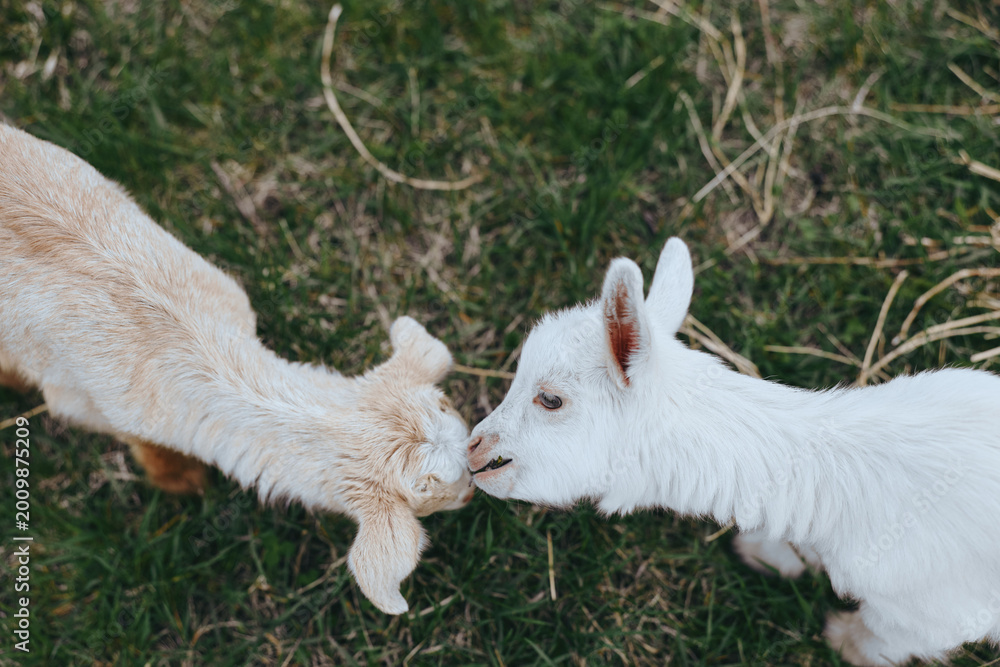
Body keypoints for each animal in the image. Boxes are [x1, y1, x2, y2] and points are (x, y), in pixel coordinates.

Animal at [468, 237, 1000, 665]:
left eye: (550, 399)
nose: (473, 452)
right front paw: (771, 555)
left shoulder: (935, 613)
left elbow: (882, 637)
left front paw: (844, 641)